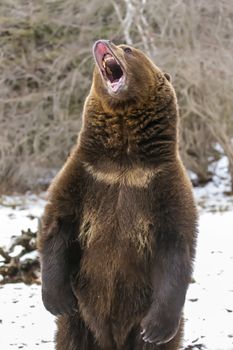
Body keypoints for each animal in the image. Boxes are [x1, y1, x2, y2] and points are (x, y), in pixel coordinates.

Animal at [37, 39, 198, 348]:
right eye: (121, 44)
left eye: (129, 49)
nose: (102, 42)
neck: (124, 159)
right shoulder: (87, 174)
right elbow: (58, 223)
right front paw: (57, 300)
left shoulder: (162, 185)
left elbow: (176, 245)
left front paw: (157, 327)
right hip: (82, 320)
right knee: (70, 336)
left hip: (137, 316)